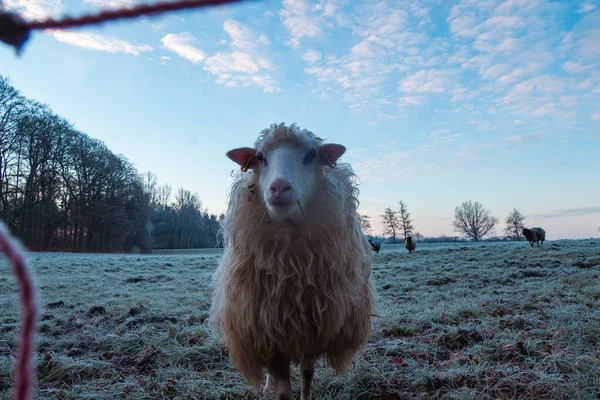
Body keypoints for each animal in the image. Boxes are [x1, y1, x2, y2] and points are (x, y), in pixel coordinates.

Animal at [209, 122, 372, 400]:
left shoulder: (314, 331)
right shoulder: (268, 333)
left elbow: (306, 375)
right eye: (259, 157)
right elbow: (283, 390)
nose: (279, 188)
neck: (292, 271)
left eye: (311, 154)